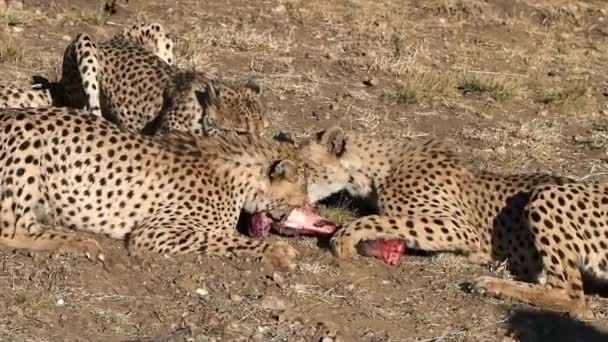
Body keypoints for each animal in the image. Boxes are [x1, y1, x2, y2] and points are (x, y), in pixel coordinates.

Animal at [0, 107, 338, 272]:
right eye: (301, 194)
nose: (311, 207)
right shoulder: (154, 232)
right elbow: (223, 238)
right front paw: (279, 251)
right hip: (28, 150)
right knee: (13, 231)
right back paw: (79, 242)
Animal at [294, 127, 608, 318]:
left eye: (303, 167)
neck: (375, 169)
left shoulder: (461, 228)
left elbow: (380, 219)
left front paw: (345, 238)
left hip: (547, 194)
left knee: (573, 297)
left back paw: (490, 284)